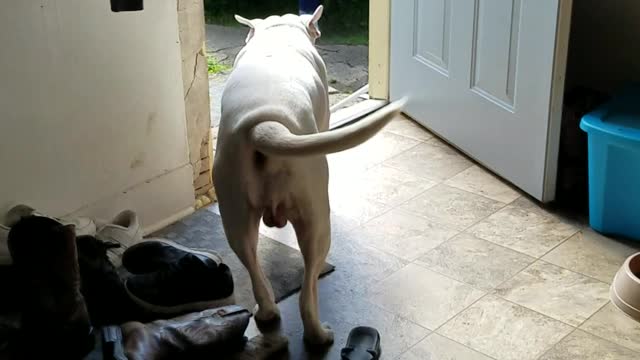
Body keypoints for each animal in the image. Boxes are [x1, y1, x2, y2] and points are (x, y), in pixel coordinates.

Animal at [214, 6, 404, 346]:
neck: (278, 32)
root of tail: (265, 125)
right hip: (316, 221)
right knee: (308, 289)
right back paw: (319, 334)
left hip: (235, 215)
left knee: (254, 267)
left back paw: (266, 312)